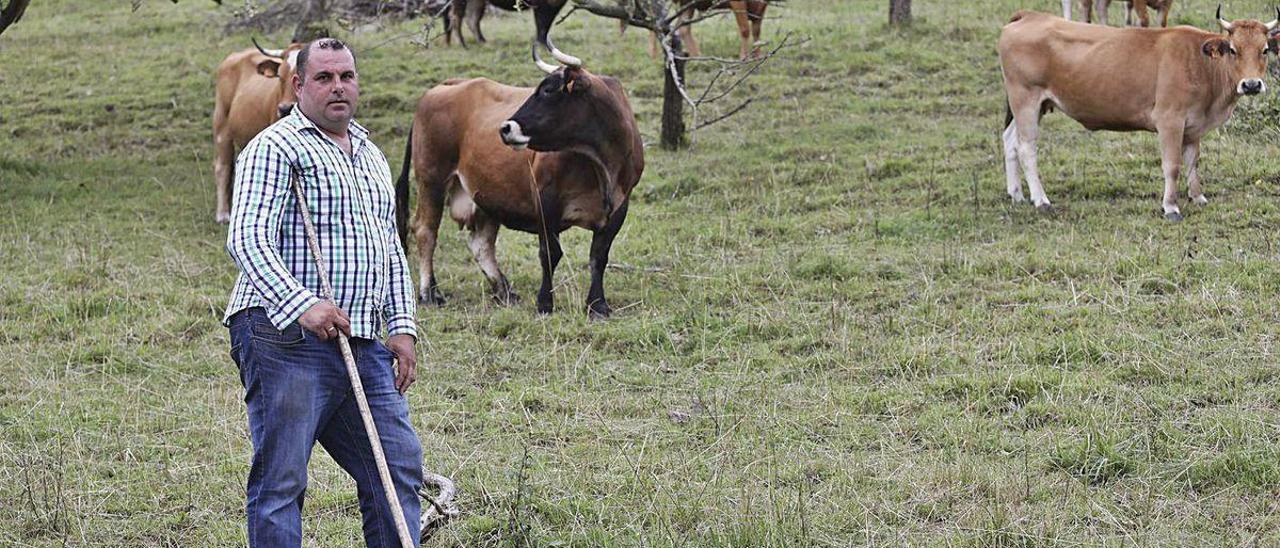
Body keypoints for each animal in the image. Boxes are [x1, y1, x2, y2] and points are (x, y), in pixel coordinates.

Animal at [394, 53, 645, 318]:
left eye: (548, 90)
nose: (505, 128)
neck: (600, 164)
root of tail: (446, 86)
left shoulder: (619, 207)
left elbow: (599, 255)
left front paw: (597, 305)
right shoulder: (546, 201)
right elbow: (550, 253)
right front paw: (545, 302)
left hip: (485, 193)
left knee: (481, 243)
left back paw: (504, 290)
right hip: (432, 178)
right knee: (426, 231)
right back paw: (430, 292)